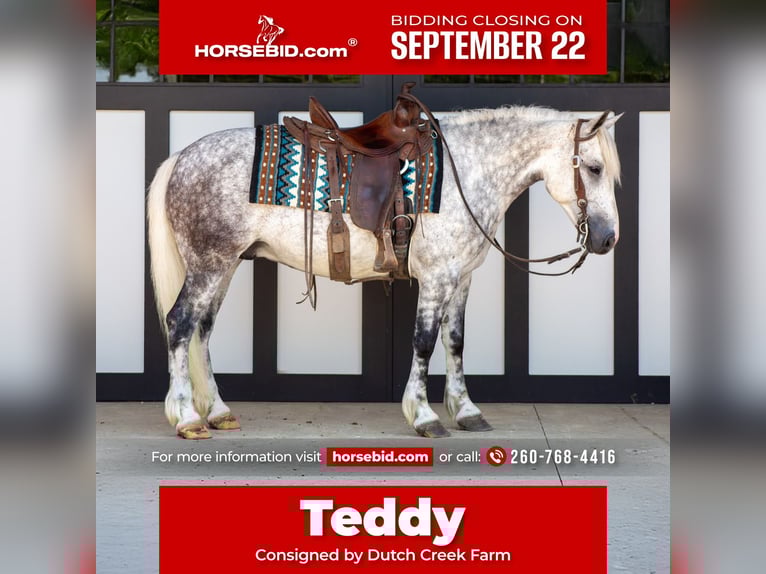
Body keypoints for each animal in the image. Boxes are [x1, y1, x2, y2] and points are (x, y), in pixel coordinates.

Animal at [147, 104, 622, 439]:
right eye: (594, 168)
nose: (608, 238)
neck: (467, 170)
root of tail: (182, 157)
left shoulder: (462, 279)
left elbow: (455, 342)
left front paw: (467, 411)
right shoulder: (436, 278)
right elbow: (424, 342)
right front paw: (425, 416)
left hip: (224, 265)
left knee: (203, 329)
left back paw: (218, 412)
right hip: (209, 264)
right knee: (180, 323)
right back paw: (186, 417)